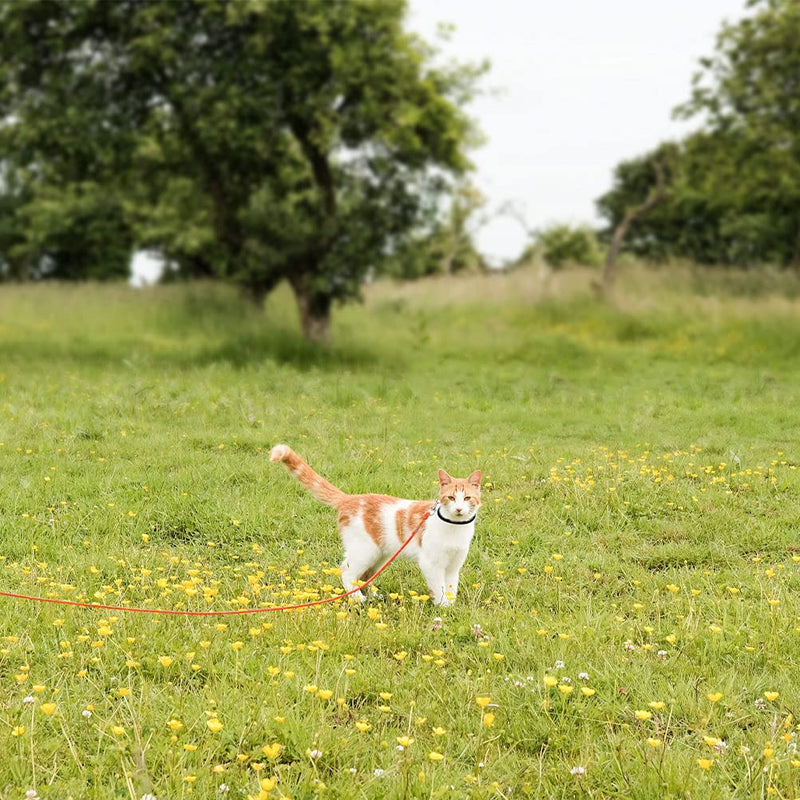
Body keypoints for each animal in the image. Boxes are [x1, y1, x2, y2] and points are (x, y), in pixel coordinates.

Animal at [268, 444, 482, 608]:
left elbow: (451, 587)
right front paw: (442, 606)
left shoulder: (454, 565)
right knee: (347, 572)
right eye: (451, 498)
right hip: (365, 550)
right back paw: (358, 598)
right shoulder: (431, 563)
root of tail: (349, 499)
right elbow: (439, 587)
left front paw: (451, 606)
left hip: (380, 555)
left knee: (365, 576)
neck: (456, 528)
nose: (459, 509)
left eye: (467, 498)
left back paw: (372, 596)